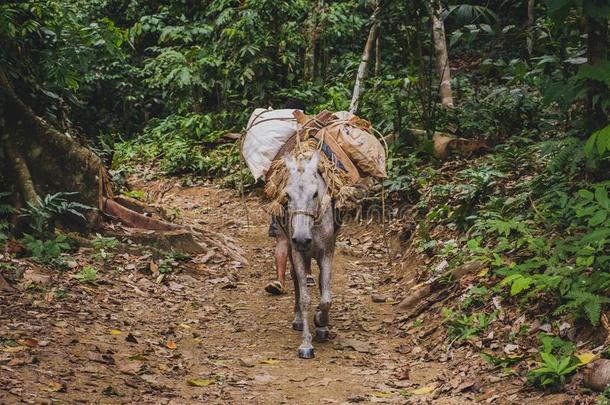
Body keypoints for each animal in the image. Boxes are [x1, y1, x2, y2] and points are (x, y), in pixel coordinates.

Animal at [276, 151, 338, 356]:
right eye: (287, 195)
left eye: (315, 194)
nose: (302, 239)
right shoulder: (298, 254)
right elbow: (304, 298)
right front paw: (306, 344)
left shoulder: (327, 253)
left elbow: (326, 297)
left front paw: (321, 322)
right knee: (295, 280)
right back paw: (297, 320)